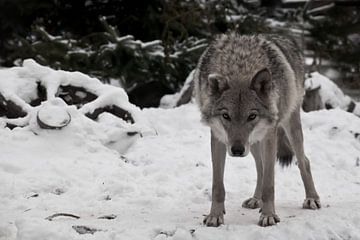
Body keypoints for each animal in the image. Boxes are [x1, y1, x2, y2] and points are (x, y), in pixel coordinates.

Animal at [194, 33, 320, 227]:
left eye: (252, 116)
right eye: (226, 116)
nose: (237, 150)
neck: (240, 68)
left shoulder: (269, 135)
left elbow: (269, 184)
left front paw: (268, 215)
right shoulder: (218, 137)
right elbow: (217, 185)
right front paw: (215, 215)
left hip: (288, 127)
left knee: (303, 161)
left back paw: (312, 198)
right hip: (253, 143)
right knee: (260, 167)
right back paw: (256, 199)